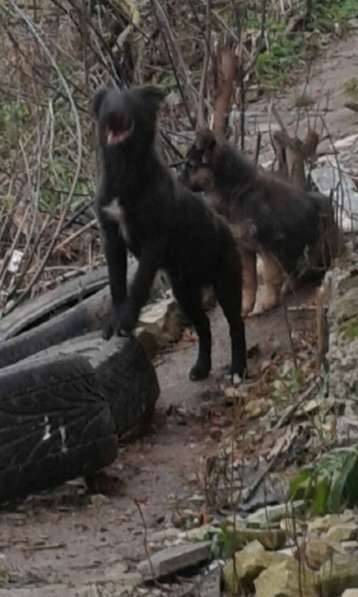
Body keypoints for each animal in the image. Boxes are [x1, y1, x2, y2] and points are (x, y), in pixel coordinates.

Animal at [93, 84, 248, 382]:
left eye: (129, 100)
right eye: (107, 102)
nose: (113, 114)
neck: (124, 171)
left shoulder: (153, 240)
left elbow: (138, 284)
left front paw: (127, 319)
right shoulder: (111, 237)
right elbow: (117, 283)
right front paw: (115, 319)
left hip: (226, 282)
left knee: (235, 324)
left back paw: (238, 368)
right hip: (184, 292)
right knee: (204, 325)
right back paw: (201, 367)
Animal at [183, 129, 338, 316]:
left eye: (190, 165)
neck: (237, 191)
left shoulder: (268, 243)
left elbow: (270, 275)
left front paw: (266, 303)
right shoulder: (243, 246)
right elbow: (248, 279)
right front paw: (245, 306)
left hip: (316, 243)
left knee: (316, 264)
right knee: (294, 270)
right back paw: (290, 284)